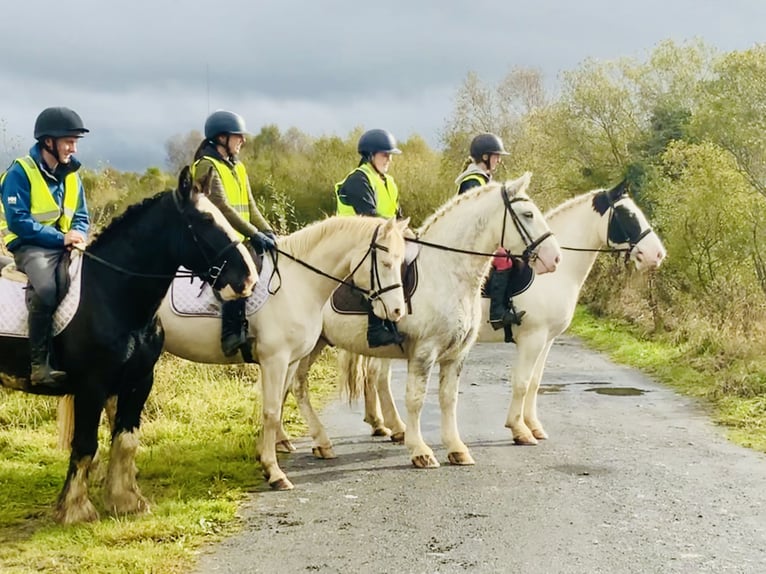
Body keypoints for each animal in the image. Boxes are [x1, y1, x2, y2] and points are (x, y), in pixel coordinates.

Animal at [0, 168, 260, 528]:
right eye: (205, 220)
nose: (247, 280)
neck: (112, 293)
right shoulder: (91, 387)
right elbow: (85, 444)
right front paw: (75, 510)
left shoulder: (138, 381)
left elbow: (125, 440)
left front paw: (126, 501)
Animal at [156, 215, 414, 490]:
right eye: (386, 263)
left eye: (401, 262)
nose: (398, 311)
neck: (297, 283)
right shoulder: (275, 360)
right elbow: (270, 412)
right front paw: (274, 471)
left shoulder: (290, 360)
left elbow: (279, 403)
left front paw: (265, 456)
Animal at [288, 173, 564, 470]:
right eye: (528, 214)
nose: (555, 258)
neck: (447, 272)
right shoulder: (424, 352)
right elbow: (416, 399)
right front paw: (419, 450)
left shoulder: (456, 354)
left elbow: (448, 399)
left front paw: (456, 448)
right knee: (296, 387)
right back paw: (319, 441)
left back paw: (286, 441)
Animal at [344, 180, 668, 446]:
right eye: (628, 216)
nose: (657, 254)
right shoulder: (533, 338)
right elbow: (522, 383)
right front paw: (519, 429)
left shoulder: (547, 340)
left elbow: (535, 382)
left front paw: (533, 426)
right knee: (378, 377)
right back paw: (396, 428)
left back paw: (381, 424)